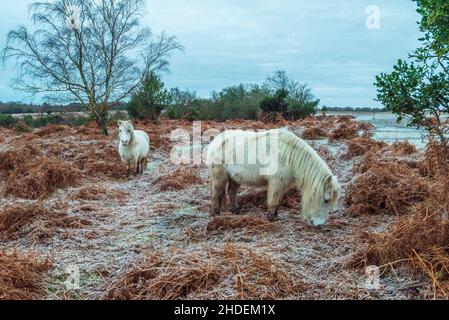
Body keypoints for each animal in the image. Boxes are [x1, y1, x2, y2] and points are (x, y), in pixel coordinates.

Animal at [206, 126, 340, 226]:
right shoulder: (276, 182)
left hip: (235, 177)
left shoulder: (282, 184)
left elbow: (278, 200)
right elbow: (274, 200)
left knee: (231, 192)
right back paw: (216, 213)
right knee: (216, 193)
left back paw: (236, 211)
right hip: (220, 176)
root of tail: (215, 142)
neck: (288, 156)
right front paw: (270, 218)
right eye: (325, 200)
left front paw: (275, 215)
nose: (319, 224)